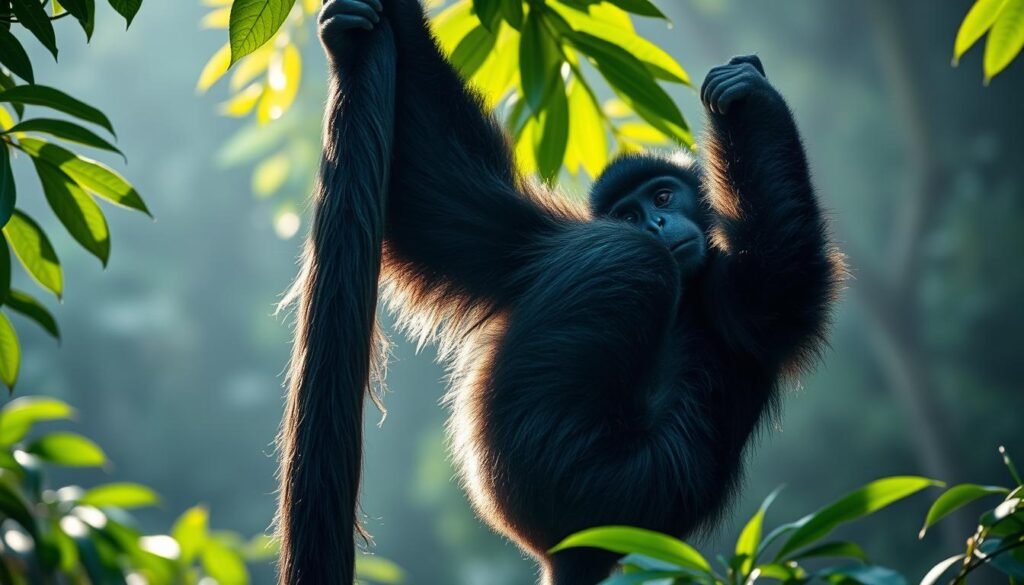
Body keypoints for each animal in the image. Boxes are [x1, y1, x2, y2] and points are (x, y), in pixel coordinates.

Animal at [276, 0, 844, 583]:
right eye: (630, 212)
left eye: (664, 197)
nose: (655, 224)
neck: (693, 297)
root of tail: (569, 552)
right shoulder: (538, 235)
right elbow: (435, 186)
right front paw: (346, 33)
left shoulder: (738, 297)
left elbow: (787, 276)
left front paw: (750, 95)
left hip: (595, 477)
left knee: (636, 260)